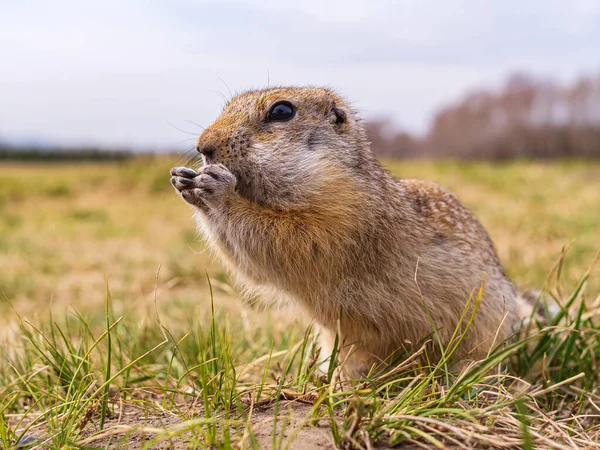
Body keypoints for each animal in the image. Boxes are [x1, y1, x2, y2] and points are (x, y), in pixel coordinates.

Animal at [171, 86, 524, 374]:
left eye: (281, 111)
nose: (202, 146)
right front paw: (183, 179)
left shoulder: (347, 215)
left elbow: (290, 240)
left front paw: (219, 189)